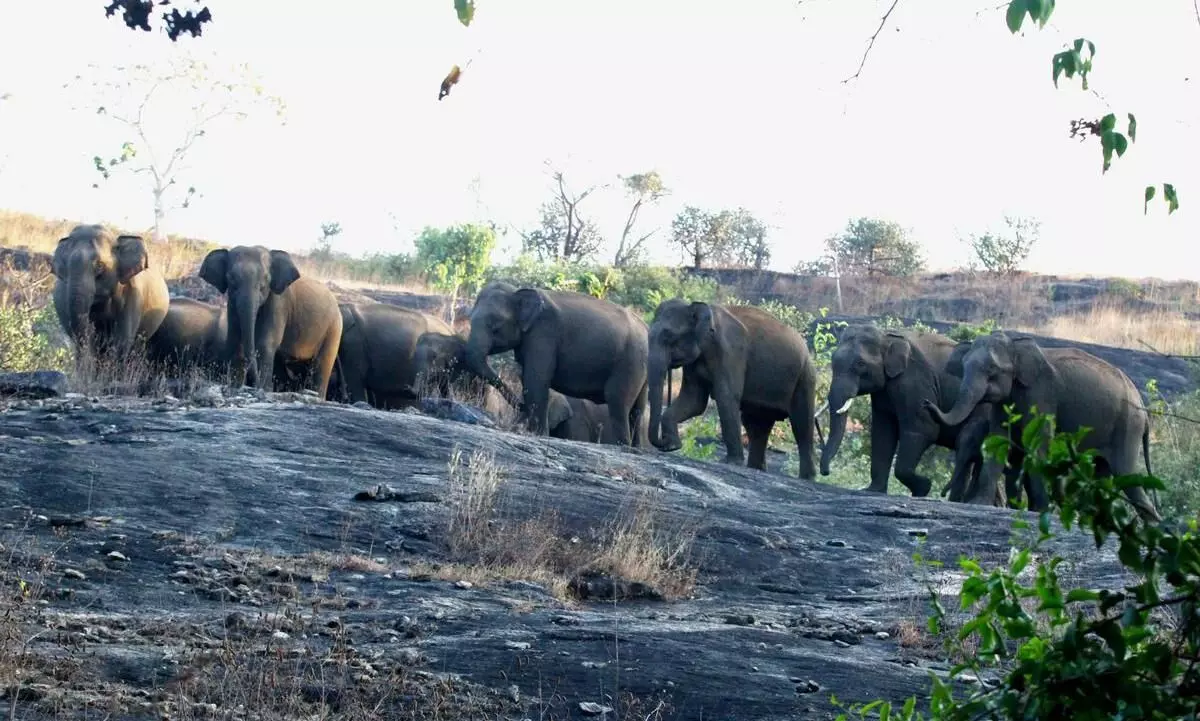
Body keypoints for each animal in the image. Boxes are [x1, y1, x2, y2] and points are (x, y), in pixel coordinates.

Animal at [198, 246, 342, 399]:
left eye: (266, 279)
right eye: (230, 278)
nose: (252, 384)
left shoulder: (278, 303)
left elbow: (265, 343)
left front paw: (263, 390)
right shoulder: (232, 302)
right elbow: (234, 340)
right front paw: (234, 388)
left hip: (334, 329)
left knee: (322, 365)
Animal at [463, 282, 650, 446]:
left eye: (495, 326)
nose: (521, 406)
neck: (518, 291)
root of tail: (646, 327)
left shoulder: (543, 334)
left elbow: (536, 379)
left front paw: (537, 434)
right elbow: (527, 378)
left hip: (629, 360)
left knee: (617, 400)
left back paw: (622, 446)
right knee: (637, 410)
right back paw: (635, 450)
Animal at [647, 298, 818, 479]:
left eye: (669, 337)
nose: (662, 442)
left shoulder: (731, 352)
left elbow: (726, 397)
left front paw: (730, 462)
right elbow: (693, 401)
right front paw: (672, 447)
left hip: (805, 376)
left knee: (802, 424)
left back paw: (807, 477)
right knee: (756, 424)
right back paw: (756, 469)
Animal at [820, 325, 995, 499]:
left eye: (860, 363)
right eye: (833, 360)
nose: (826, 472)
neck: (887, 336)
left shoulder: (914, 382)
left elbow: (923, 430)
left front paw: (924, 488)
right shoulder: (884, 392)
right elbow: (883, 433)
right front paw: (871, 490)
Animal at [923, 330, 1162, 523]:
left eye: (992, 370)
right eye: (963, 368)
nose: (926, 403)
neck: (1016, 347)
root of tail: (1145, 412)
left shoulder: (1042, 394)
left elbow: (1038, 445)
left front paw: (1039, 511)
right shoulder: (1006, 402)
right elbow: (998, 442)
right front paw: (979, 504)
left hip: (1127, 427)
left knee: (1126, 475)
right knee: (1101, 476)